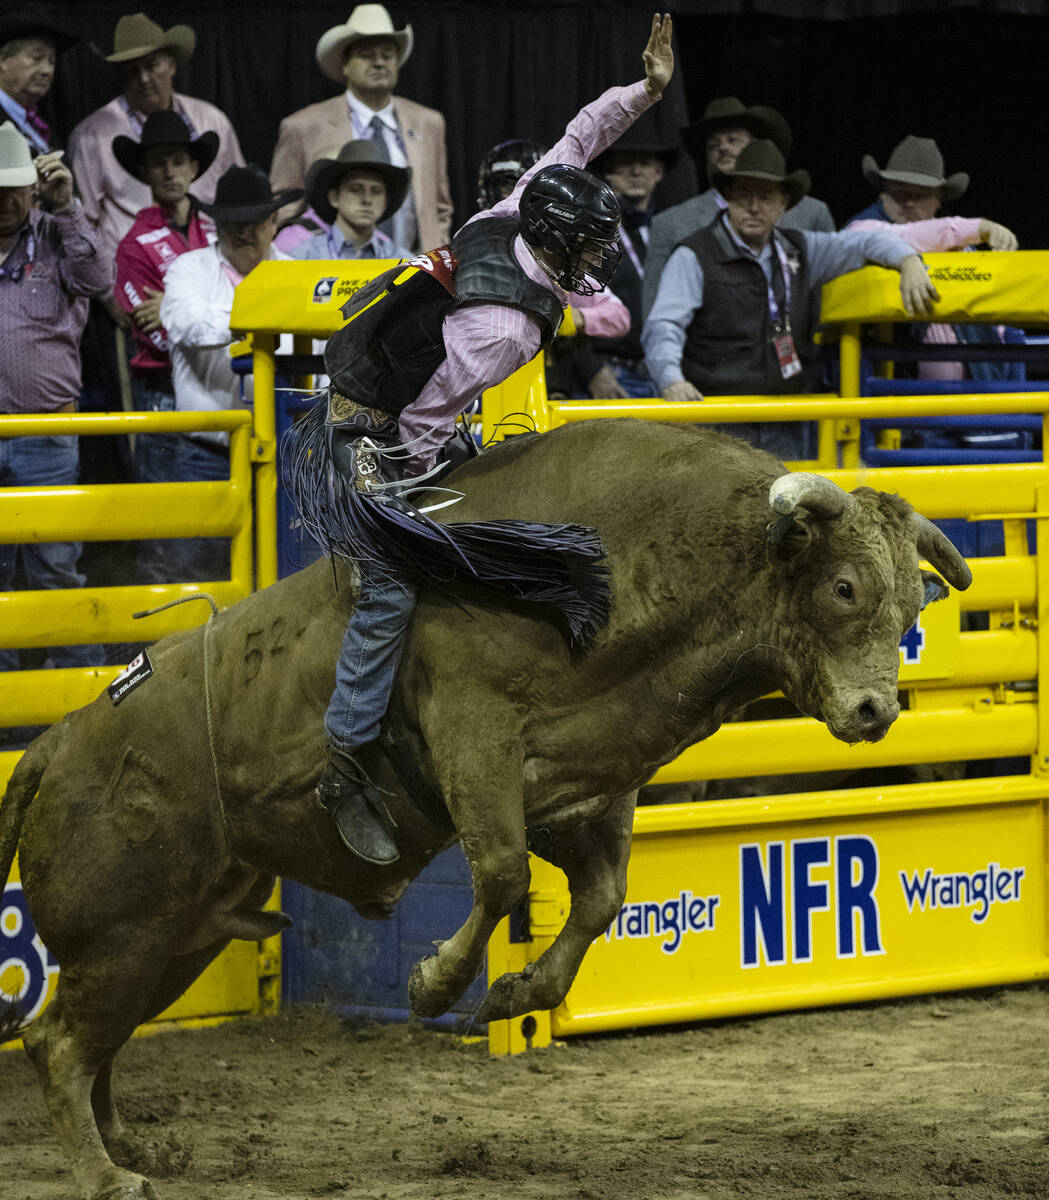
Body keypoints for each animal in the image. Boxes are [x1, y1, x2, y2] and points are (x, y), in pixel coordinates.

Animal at [0, 417, 969, 1195]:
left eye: (911, 602)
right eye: (844, 589)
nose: (875, 713)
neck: (636, 563)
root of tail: (57, 743)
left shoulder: (584, 789)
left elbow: (600, 899)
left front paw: (518, 991)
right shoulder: (474, 735)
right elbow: (501, 876)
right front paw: (436, 983)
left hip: (176, 939)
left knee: (99, 1041)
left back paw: (132, 1147)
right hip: (122, 931)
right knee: (57, 1044)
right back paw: (107, 1175)